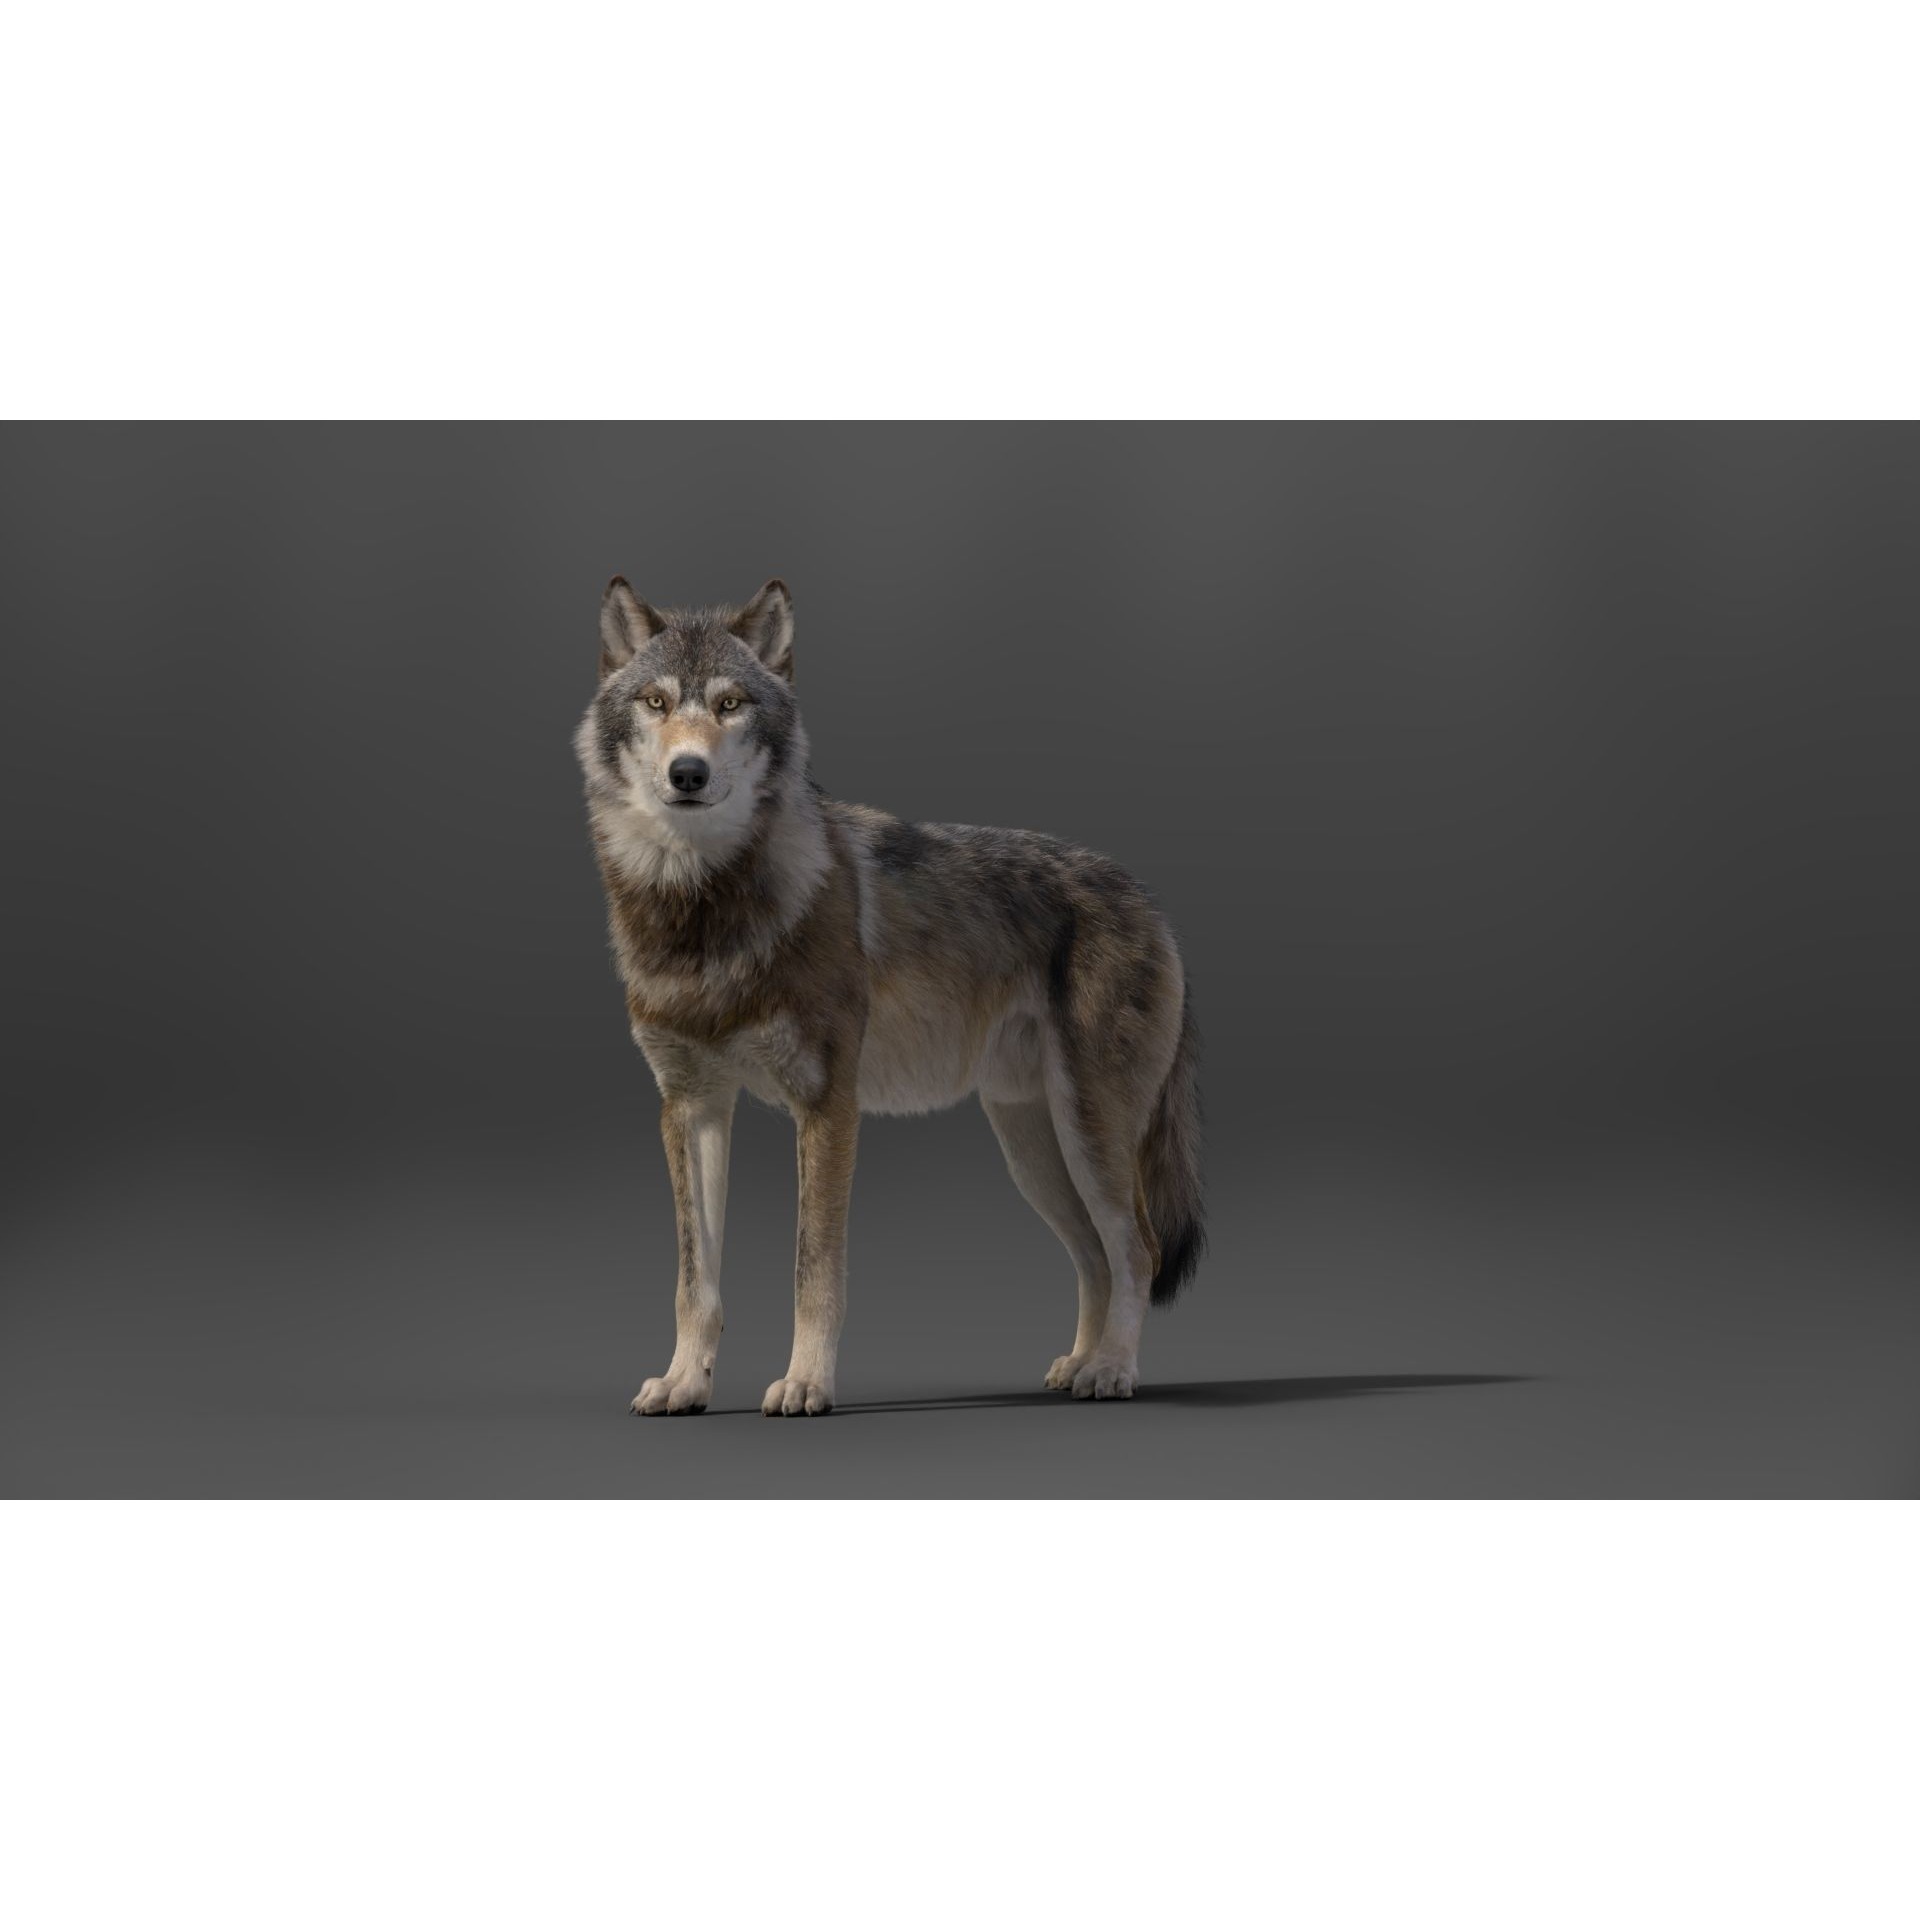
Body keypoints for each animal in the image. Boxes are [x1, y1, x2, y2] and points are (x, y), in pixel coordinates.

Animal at [577, 577, 1204, 1415]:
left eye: (731, 704)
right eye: (655, 701)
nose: (688, 774)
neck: (701, 913)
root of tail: (1152, 903)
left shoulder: (826, 1105)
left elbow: (814, 1269)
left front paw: (806, 1382)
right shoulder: (691, 1107)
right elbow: (694, 1279)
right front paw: (684, 1383)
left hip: (1088, 1135)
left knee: (1135, 1246)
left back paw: (1113, 1371)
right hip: (1033, 1147)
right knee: (1094, 1256)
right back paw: (1080, 1364)